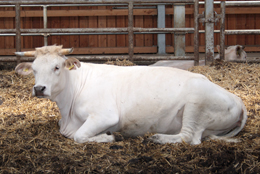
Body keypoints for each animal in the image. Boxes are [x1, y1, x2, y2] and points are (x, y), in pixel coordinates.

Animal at [15, 44, 247, 144]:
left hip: (195, 104)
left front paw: (109, 137)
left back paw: (159, 138)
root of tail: (238, 99)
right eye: (34, 69)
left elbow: (79, 136)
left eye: (56, 67)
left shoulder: (106, 115)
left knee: (189, 137)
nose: (39, 89)